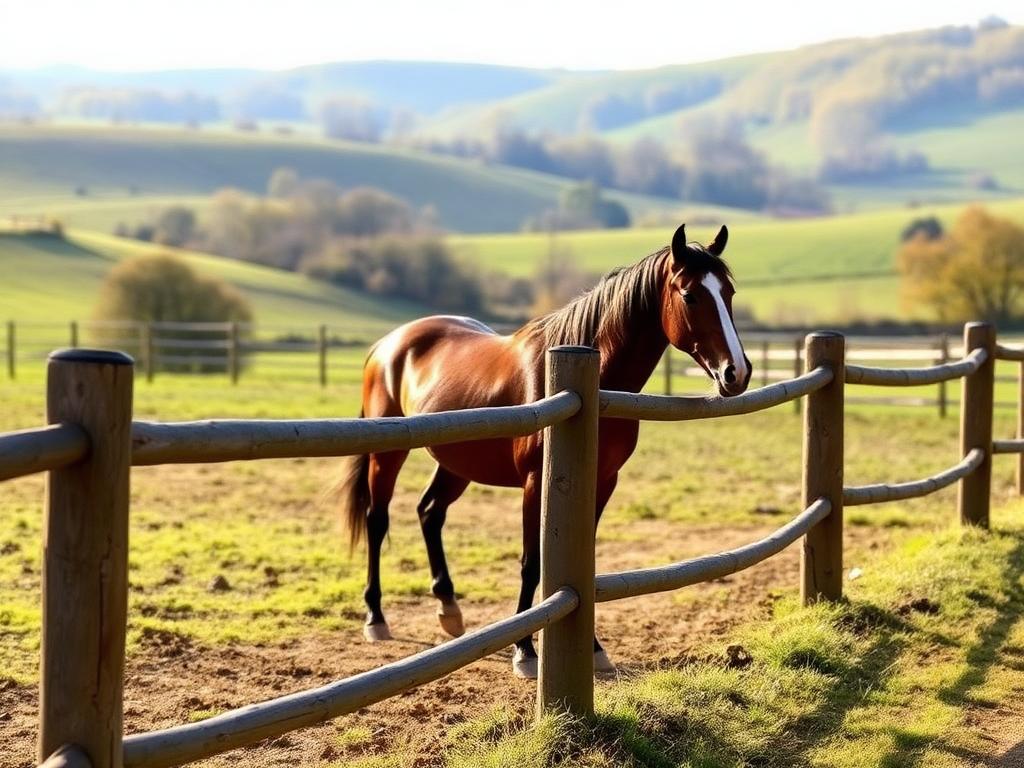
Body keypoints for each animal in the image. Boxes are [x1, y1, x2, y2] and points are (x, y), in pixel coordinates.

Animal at [337, 222, 751, 678]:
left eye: (729, 291)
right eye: (690, 295)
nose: (737, 373)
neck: (590, 383)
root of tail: (387, 345)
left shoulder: (603, 482)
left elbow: (582, 560)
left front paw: (593, 649)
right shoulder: (536, 484)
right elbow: (531, 562)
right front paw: (525, 652)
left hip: (457, 463)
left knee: (430, 512)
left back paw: (449, 610)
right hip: (388, 455)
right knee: (378, 521)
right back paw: (376, 617)